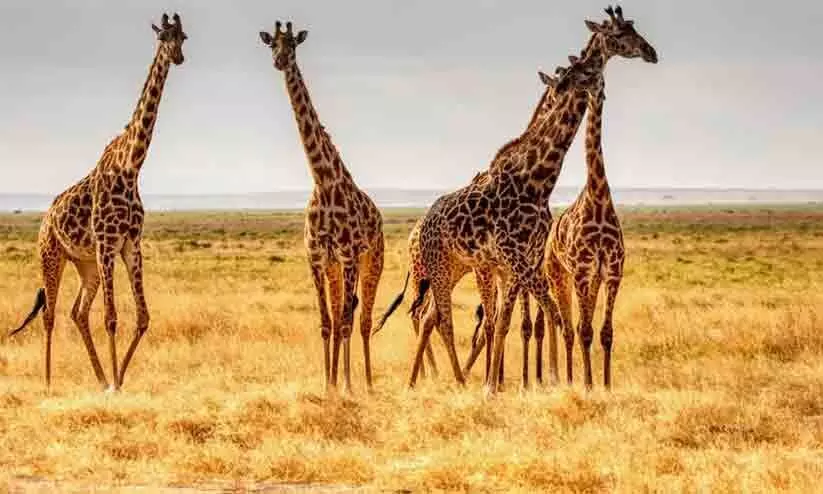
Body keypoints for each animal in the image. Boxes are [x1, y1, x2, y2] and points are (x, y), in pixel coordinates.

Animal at [9, 14, 187, 392]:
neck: (131, 166)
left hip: (85, 263)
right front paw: (116, 384)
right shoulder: (107, 243)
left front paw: (116, 379)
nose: (178, 57)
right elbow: (111, 317)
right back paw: (48, 382)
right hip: (51, 254)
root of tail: (45, 219)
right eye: (163, 37)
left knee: (77, 312)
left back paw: (99, 376)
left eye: (183, 37)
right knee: (50, 313)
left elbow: (143, 317)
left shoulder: (130, 243)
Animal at [259, 21, 384, 393]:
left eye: (293, 45)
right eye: (271, 44)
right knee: (344, 312)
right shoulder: (317, 258)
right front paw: (327, 385)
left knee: (362, 319)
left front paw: (347, 386)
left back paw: (367, 383)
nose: (280, 61)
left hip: (372, 261)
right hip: (334, 269)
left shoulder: (348, 256)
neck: (324, 183)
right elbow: (326, 322)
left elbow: (344, 322)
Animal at [540, 6, 656, 390]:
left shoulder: (612, 272)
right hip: (560, 276)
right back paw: (570, 379)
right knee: (568, 327)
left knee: (576, 326)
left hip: (587, 280)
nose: (652, 52)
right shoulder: (582, 271)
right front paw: (589, 385)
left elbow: (606, 332)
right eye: (620, 32)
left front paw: (605, 385)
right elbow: (585, 330)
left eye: (587, 71)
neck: (599, 197)